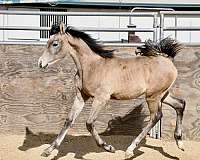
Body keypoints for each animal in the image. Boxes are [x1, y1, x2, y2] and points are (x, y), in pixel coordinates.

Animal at [38, 22, 186, 159]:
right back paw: (179, 142)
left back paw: (130, 150)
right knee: (180, 104)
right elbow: (68, 120)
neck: (92, 66)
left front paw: (108, 147)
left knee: (156, 116)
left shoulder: (101, 98)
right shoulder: (81, 96)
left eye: (55, 44)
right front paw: (48, 150)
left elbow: (89, 123)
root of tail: (168, 60)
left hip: (153, 96)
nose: (40, 63)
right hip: (162, 95)